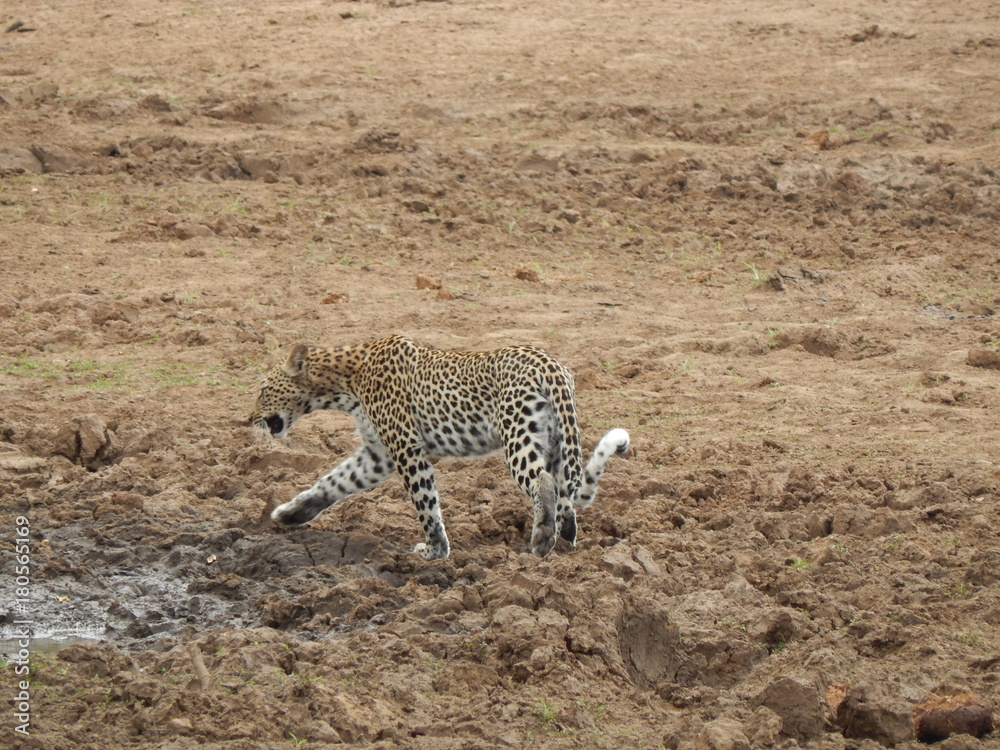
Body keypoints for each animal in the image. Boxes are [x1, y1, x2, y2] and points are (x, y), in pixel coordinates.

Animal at [248, 338, 624, 560]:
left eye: (263, 389)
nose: (248, 418)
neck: (344, 382)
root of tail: (551, 364)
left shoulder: (405, 447)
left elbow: (425, 503)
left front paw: (434, 550)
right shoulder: (377, 455)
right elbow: (333, 482)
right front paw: (291, 513)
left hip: (517, 433)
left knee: (541, 481)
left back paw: (543, 540)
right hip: (556, 437)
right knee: (562, 488)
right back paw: (565, 538)